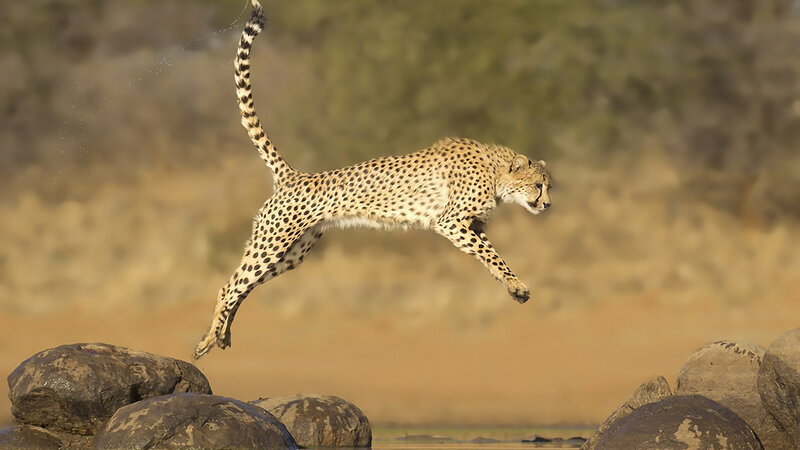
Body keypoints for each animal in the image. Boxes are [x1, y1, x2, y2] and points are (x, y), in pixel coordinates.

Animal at [194, 0, 552, 359]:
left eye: (549, 186)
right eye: (539, 185)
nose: (547, 204)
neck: (496, 172)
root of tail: (294, 175)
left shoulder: (471, 226)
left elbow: (490, 254)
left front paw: (514, 288)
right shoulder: (450, 222)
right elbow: (492, 255)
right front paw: (517, 285)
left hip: (292, 252)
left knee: (242, 286)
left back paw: (221, 336)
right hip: (273, 242)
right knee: (229, 286)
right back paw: (207, 341)